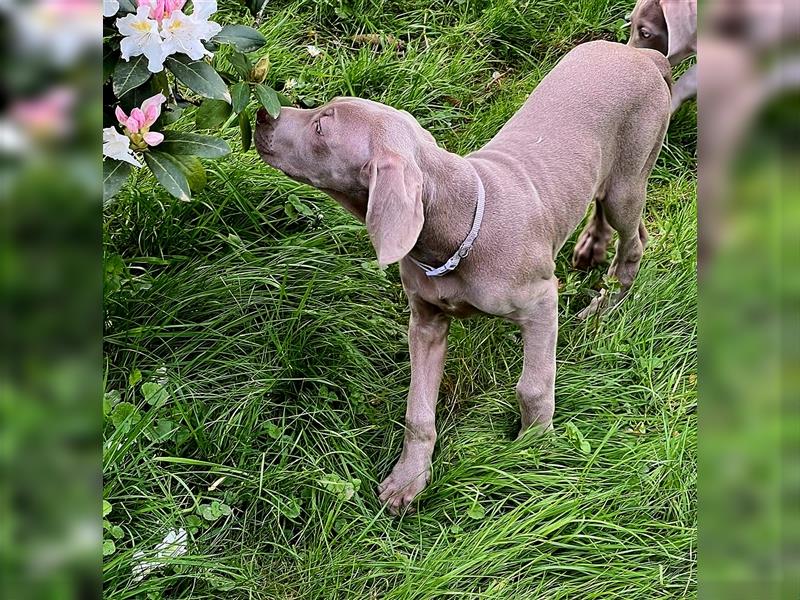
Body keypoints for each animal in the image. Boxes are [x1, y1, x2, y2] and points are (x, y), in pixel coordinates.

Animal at [255, 39, 668, 512]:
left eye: (322, 126)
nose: (262, 113)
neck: (459, 228)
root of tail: (641, 54)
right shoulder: (426, 321)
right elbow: (418, 412)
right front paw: (409, 479)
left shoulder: (542, 302)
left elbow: (532, 387)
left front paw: (533, 448)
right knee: (607, 212)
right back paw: (590, 246)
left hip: (629, 178)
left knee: (634, 241)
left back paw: (607, 306)